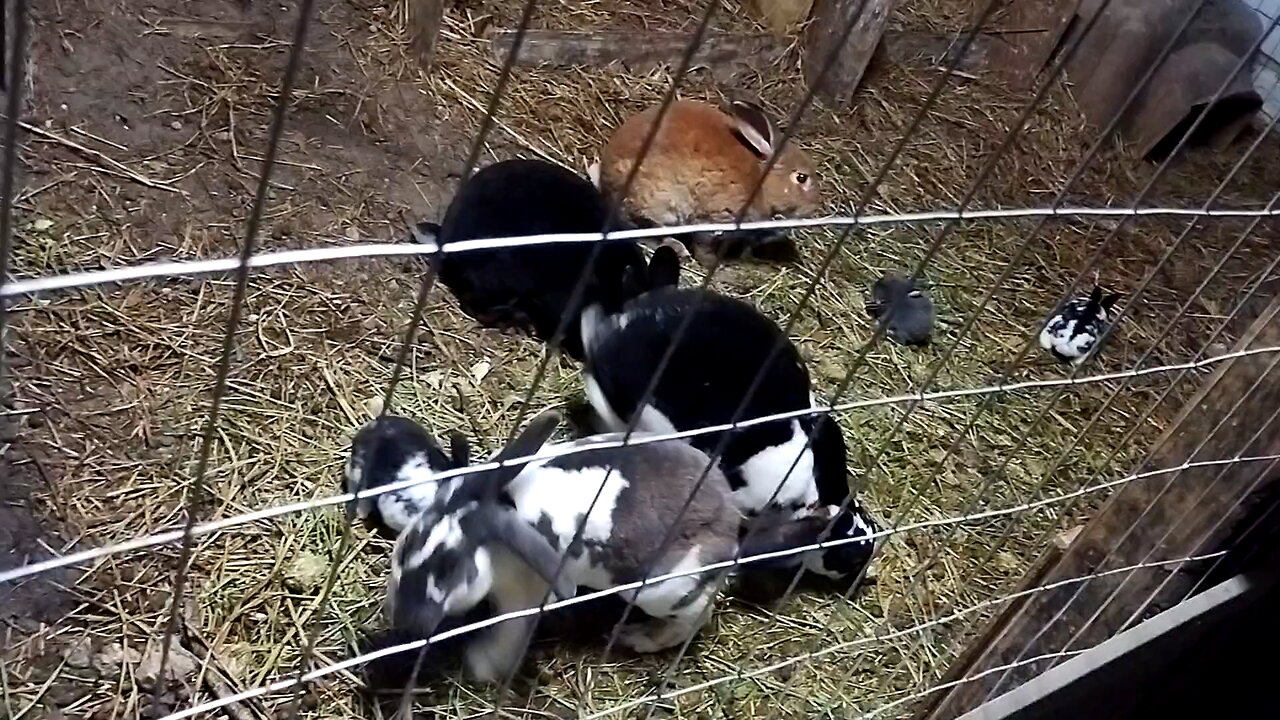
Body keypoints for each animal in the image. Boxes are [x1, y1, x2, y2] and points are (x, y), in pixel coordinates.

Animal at [381, 407, 742, 681]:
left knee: (692, 617)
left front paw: (481, 668)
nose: (403, 621)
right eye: (405, 546)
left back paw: (636, 637)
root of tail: (730, 517)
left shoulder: (522, 598)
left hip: (661, 591)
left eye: (449, 568)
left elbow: (508, 635)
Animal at [588, 98, 819, 269]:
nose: (814, 207)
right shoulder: (713, 217)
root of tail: (606, 183)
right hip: (657, 202)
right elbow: (704, 243)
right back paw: (678, 248)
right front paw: (711, 263)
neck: (761, 181)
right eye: (801, 178)